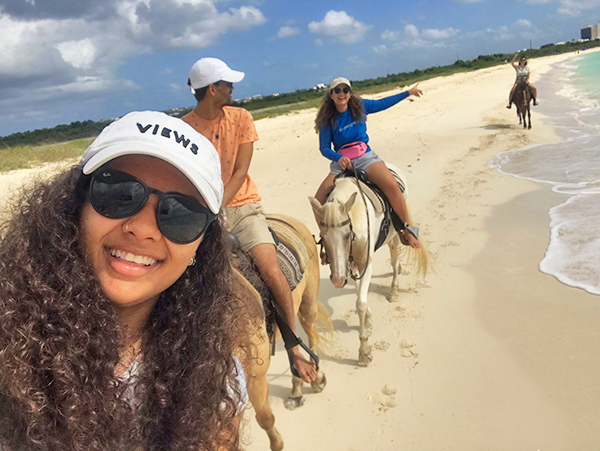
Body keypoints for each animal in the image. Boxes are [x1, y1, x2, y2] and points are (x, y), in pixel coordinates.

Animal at [310, 166, 426, 368]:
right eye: (322, 238)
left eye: (347, 235)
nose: (338, 280)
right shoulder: (352, 265)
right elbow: (359, 295)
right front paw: (369, 321)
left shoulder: (365, 264)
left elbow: (360, 304)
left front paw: (364, 352)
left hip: (395, 236)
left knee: (394, 260)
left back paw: (394, 291)